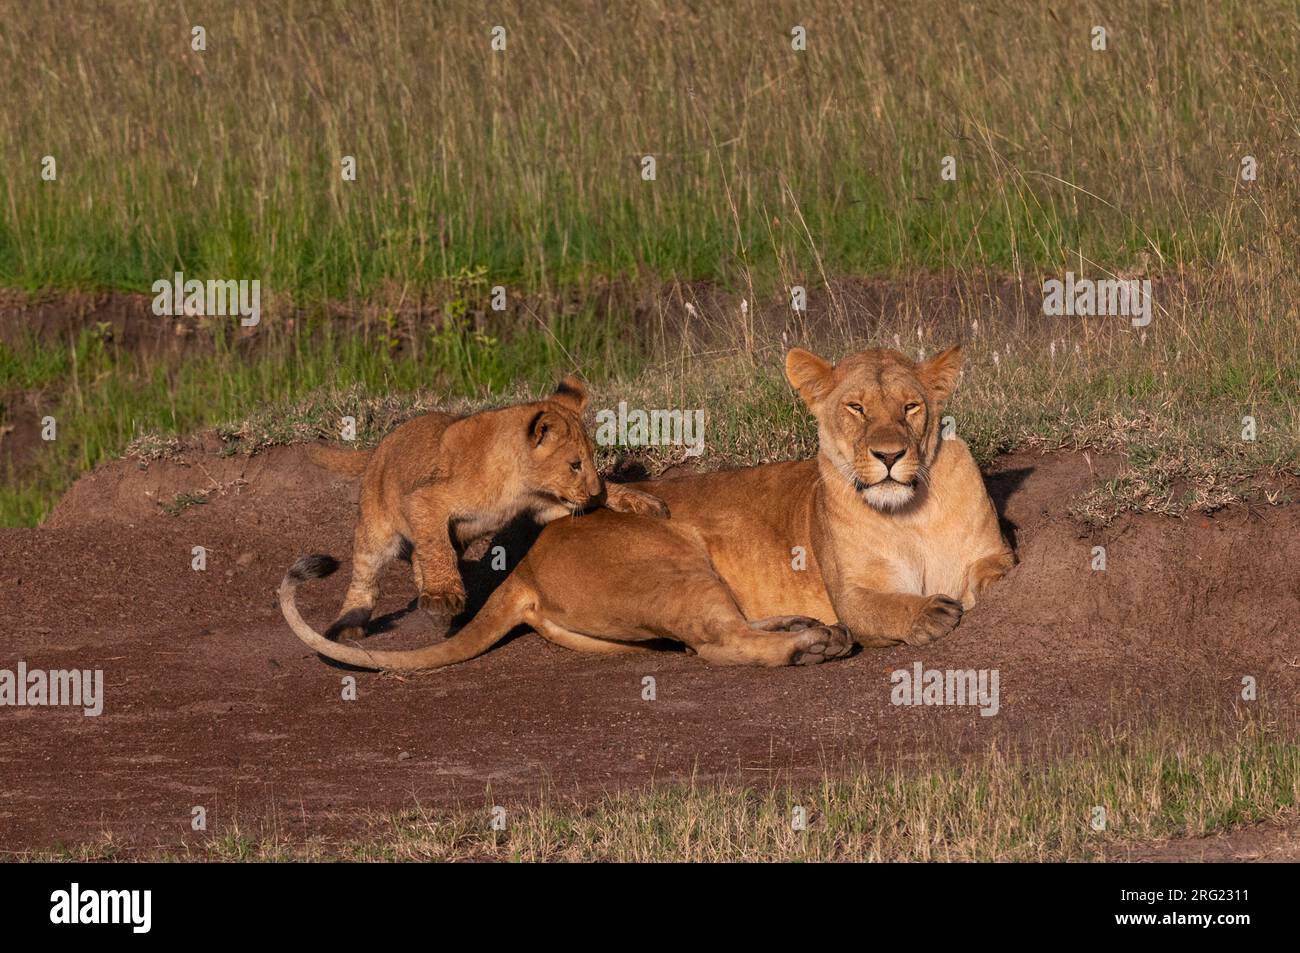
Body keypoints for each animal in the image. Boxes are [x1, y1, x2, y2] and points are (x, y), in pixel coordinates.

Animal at [305, 375, 669, 640]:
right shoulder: (424, 498)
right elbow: (436, 546)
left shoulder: (544, 506)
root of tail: (381, 446)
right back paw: (351, 621)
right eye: (575, 465)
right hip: (377, 528)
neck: (518, 484)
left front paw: (640, 503)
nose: (592, 488)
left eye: (592, 461)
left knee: (420, 557)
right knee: (367, 574)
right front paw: (443, 595)